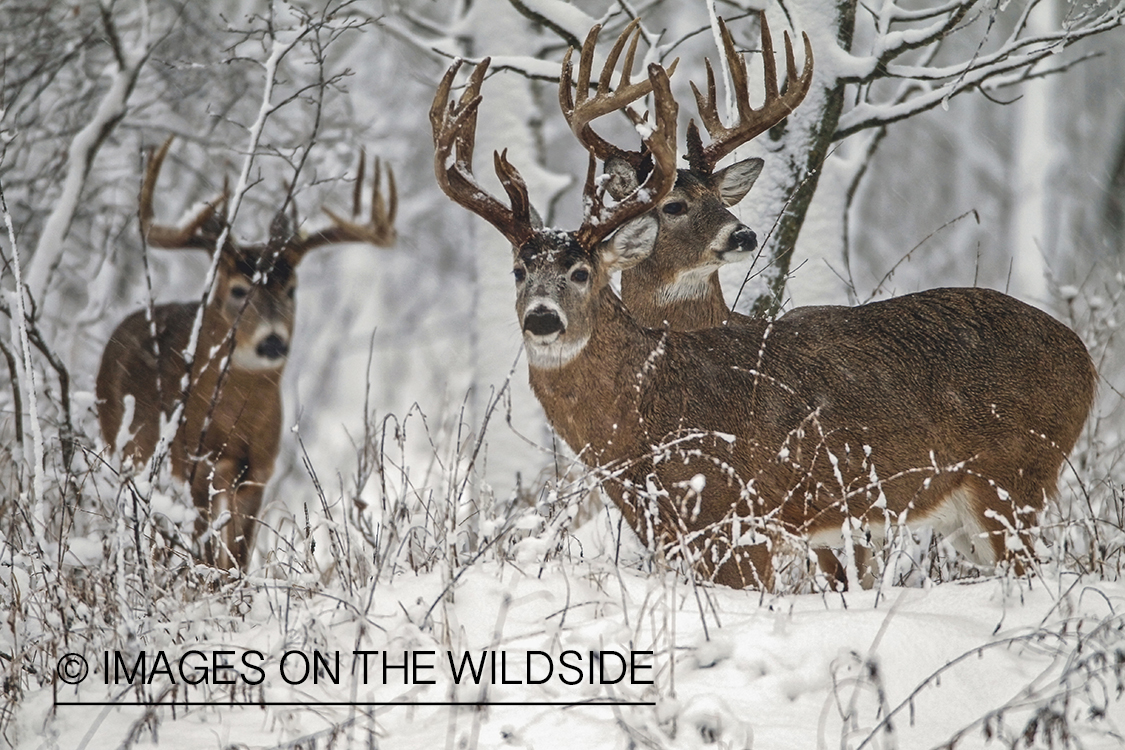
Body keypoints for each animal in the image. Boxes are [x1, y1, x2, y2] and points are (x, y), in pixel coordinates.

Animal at [96, 136, 398, 568]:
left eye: (291, 290)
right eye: (239, 290)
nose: (272, 341)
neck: (237, 421)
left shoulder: (259, 471)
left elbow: (237, 553)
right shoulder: (197, 464)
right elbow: (209, 551)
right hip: (124, 448)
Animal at [432, 51, 1098, 593]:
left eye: (580, 272)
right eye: (519, 270)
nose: (543, 320)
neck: (647, 416)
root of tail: (1086, 358)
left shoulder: (736, 519)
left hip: (1015, 476)